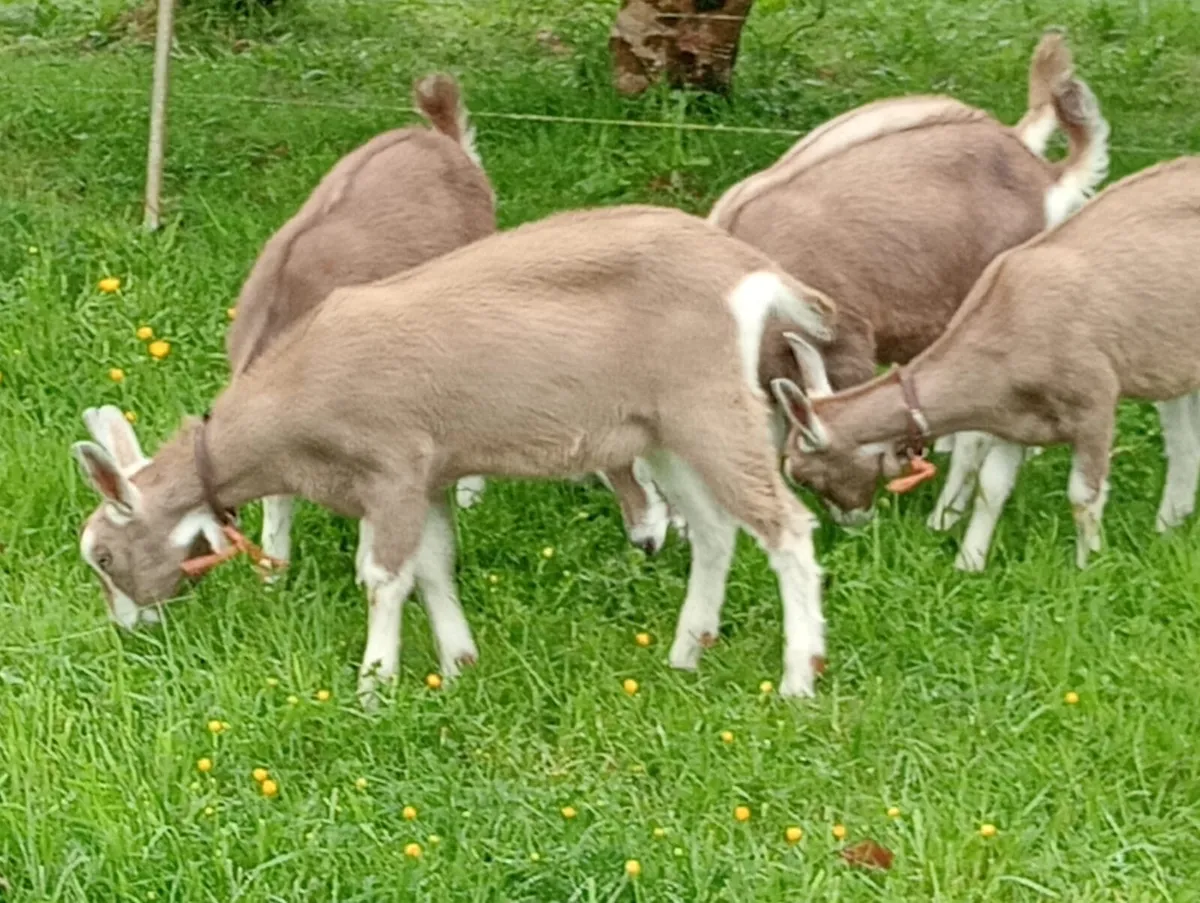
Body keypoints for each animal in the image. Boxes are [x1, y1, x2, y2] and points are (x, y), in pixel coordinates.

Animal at [73, 206, 836, 702]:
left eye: (104, 556)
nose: (128, 628)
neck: (299, 398)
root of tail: (752, 272)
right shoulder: (431, 475)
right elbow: (435, 566)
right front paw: (459, 661)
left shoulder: (392, 467)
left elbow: (384, 577)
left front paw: (374, 685)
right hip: (666, 429)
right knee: (716, 530)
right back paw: (685, 653)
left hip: (708, 407)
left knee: (787, 528)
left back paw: (798, 679)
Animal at [772, 157, 1200, 571]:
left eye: (802, 475)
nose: (852, 523)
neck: (1008, 321)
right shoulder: (1015, 419)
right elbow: (991, 488)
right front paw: (969, 562)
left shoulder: (1094, 402)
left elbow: (1083, 496)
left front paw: (1088, 565)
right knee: (1184, 444)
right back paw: (1168, 524)